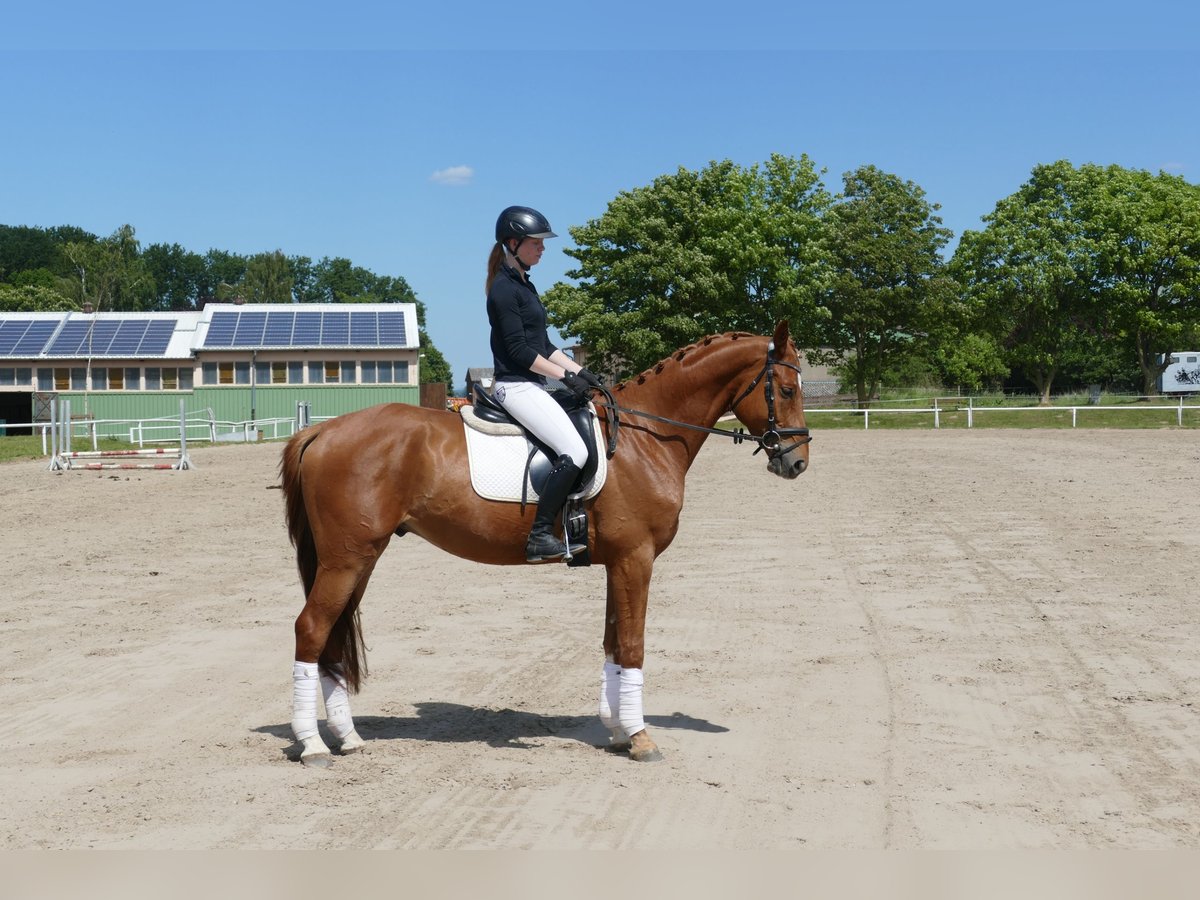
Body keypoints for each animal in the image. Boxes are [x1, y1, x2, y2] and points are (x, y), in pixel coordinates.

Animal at [279, 319, 811, 767]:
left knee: (332, 637)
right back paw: (312, 746)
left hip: (360, 558)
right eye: (786, 389)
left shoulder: (617, 561)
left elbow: (612, 642)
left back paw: (348, 738)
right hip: (346, 560)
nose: (797, 462)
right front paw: (641, 739)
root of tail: (322, 430)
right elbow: (633, 645)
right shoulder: (635, 559)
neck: (647, 438)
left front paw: (616, 730)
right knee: (311, 630)